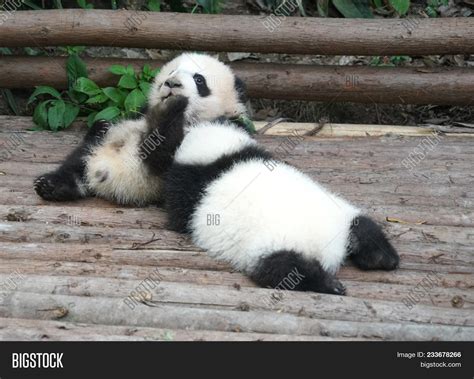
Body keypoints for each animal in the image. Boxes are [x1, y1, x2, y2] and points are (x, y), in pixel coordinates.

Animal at [33, 53, 248, 206]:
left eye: (199, 80)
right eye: (171, 72)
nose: (172, 83)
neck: (189, 118)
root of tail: (100, 176)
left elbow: (163, 151)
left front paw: (173, 109)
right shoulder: (140, 114)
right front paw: (101, 125)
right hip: (96, 150)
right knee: (78, 160)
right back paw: (51, 185)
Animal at [144, 93, 400, 296]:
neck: (222, 153)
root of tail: (329, 249)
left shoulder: (190, 185)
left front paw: (174, 109)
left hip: (275, 242)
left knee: (284, 271)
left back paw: (330, 284)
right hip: (337, 215)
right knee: (363, 228)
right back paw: (382, 258)